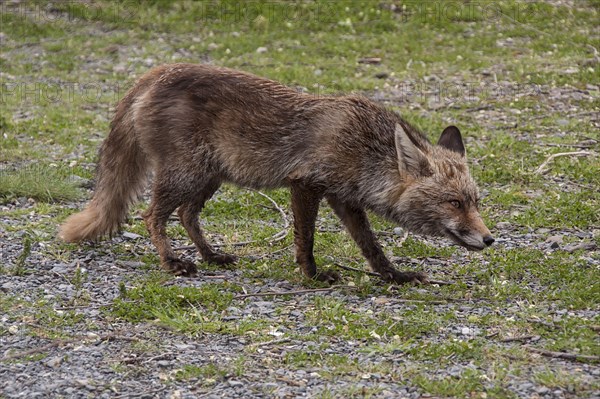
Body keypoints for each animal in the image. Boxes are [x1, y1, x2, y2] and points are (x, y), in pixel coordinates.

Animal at [58, 63, 494, 284]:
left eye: (474, 201)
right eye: (454, 203)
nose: (490, 239)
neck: (365, 148)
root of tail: (157, 73)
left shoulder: (344, 198)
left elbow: (371, 246)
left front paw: (394, 276)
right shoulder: (307, 184)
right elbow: (307, 240)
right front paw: (311, 275)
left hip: (209, 177)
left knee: (186, 214)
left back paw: (210, 255)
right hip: (186, 174)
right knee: (153, 215)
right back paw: (174, 263)